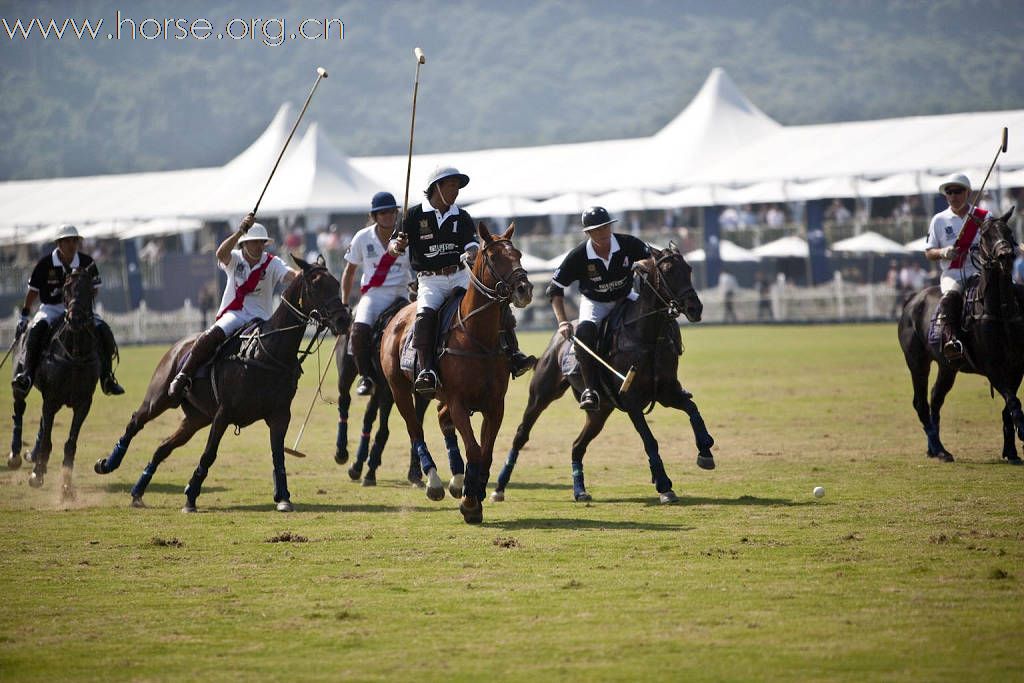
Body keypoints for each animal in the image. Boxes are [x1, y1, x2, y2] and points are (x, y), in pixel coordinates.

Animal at [7, 268, 100, 501]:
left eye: (89, 288)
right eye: (66, 287)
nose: (75, 319)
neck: (75, 353)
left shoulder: (83, 403)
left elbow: (70, 443)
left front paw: (66, 487)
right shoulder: (52, 399)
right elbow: (48, 440)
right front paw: (36, 474)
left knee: (41, 422)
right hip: (20, 380)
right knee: (19, 407)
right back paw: (15, 455)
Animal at [96, 258, 352, 511]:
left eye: (336, 283)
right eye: (316, 285)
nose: (344, 320)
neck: (267, 352)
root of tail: (178, 345)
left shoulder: (280, 414)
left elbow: (278, 455)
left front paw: (283, 498)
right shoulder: (224, 412)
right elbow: (209, 454)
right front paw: (190, 497)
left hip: (196, 418)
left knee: (163, 447)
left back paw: (138, 491)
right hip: (160, 398)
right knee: (136, 421)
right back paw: (108, 464)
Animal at [380, 224, 532, 524]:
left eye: (519, 254)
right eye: (494, 257)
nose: (524, 289)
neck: (478, 338)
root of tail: (398, 316)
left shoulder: (494, 405)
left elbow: (485, 451)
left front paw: (476, 491)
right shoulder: (459, 402)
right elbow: (473, 448)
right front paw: (471, 502)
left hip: (442, 397)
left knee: (441, 419)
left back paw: (457, 479)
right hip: (401, 390)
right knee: (415, 430)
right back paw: (435, 483)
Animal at [491, 245, 716, 501]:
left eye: (689, 269)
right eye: (668, 270)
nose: (695, 308)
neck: (647, 337)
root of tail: (559, 335)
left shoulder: (667, 391)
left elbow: (692, 408)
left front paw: (705, 451)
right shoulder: (631, 400)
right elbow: (650, 440)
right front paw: (664, 484)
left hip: (600, 411)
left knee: (577, 446)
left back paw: (579, 490)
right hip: (542, 394)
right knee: (522, 434)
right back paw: (499, 487)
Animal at [897, 206, 1024, 464]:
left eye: (1008, 231)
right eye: (985, 235)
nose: (1005, 256)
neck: (1000, 311)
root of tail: (911, 300)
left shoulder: (1017, 367)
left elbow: (1008, 408)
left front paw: (1011, 452)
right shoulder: (992, 367)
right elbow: (1013, 402)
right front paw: (1023, 432)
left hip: (947, 366)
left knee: (935, 399)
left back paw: (935, 449)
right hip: (917, 362)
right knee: (921, 403)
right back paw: (940, 450)